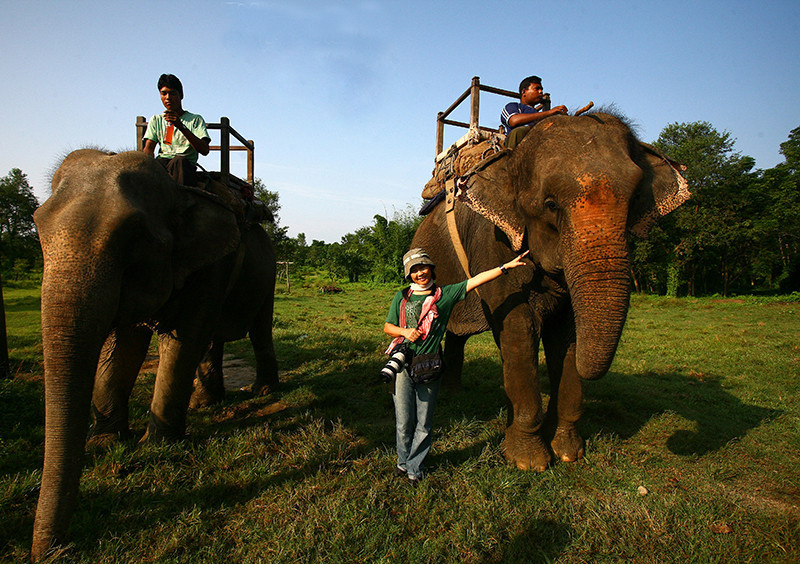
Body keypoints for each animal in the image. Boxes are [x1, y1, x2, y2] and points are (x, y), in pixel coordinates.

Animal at [29, 149, 280, 560]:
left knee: (258, 329)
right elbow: (126, 343)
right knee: (214, 338)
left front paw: (156, 445)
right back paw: (206, 403)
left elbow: (182, 340)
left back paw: (262, 392)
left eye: (134, 238)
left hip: (268, 272)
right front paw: (107, 441)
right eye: (37, 228)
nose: (55, 552)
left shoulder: (213, 262)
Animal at [412, 112, 688, 474]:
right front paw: (529, 462)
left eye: (633, 204)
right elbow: (519, 329)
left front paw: (569, 452)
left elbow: (566, 334)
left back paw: (457, 392)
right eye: (550, 204)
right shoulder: (494, 241)